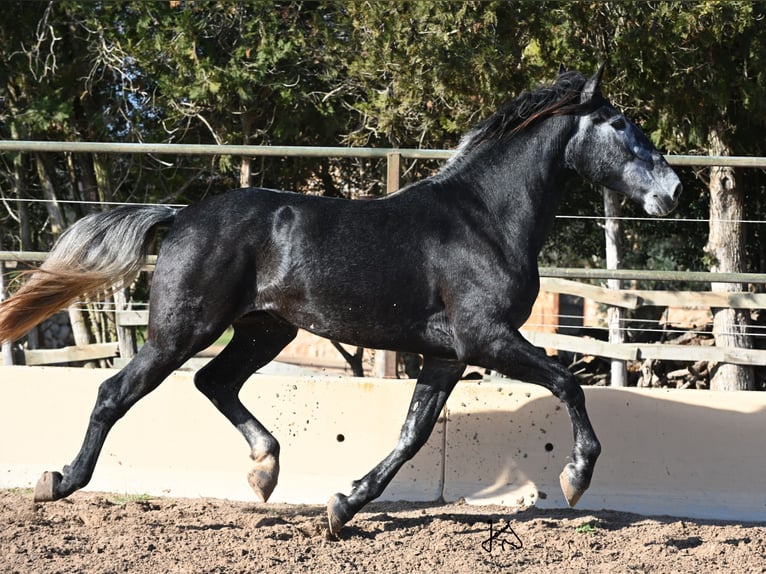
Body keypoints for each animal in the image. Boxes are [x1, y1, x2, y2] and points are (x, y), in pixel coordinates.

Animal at [0, 65, 684, 536]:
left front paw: (342, 505)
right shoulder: (488, 338)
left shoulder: (448, 355)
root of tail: (183, 214)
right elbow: (569, 383)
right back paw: (57, 482)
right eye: (620, 125)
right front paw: (575, 478)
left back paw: (265, 470)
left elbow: (412, 434)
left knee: (214, 383)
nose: (674, 189)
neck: (484, 219)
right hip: (183, 330)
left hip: (263, 330)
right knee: (115, 391)